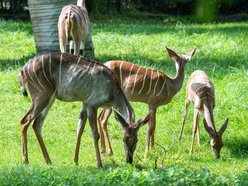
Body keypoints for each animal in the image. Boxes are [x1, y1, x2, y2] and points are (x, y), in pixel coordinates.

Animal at [17, 53, 151, 168]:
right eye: (124, 139)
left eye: (136, 139)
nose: (129, 160)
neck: (112, 92)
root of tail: (23, 70)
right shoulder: (92, 104)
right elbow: (94, 134)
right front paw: (99, 164)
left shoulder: (85, 103)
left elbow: (79, 129)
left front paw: (75, 161)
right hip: (41, 95)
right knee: (24, 121)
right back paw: (26, 160)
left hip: (49, 97)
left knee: (36, 124)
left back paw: (48, 160)